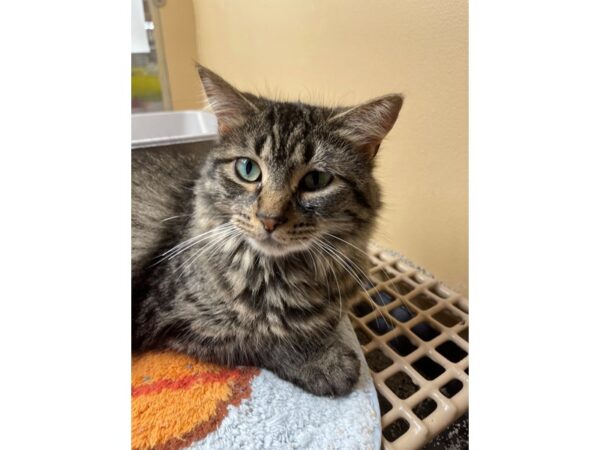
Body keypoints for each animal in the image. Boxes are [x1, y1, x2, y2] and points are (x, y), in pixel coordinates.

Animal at [131, 65, 404, 396]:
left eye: (316, 181)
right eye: (247, 169)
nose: (269, 219)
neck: (277, 273)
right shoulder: (177, 316)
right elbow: (262, 335)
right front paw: (326, 363)